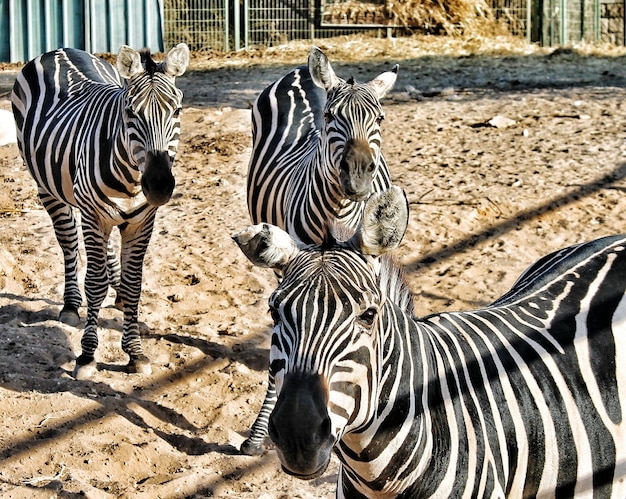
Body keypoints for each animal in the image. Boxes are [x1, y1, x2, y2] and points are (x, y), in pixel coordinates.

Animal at [11, 44, 189, 378]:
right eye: (130, 113)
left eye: (177, 111)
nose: (159, 186)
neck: (131, 180)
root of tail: (60, 49)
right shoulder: (93, 216)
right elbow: (94, 283)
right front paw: (87, 354)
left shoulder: (142, 221)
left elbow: (134, 284)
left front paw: (135, 351)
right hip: (48, 189)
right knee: (69, 243)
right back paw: (70, 305)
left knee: (106, 255)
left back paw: (115, 291)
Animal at [241, 46, 398, 458]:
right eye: (330, 117)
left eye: (379, 118)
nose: (357, 173)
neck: (338, 217)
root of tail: (301, 71)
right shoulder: (290, 269)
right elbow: (280, 358)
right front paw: (260, 433)